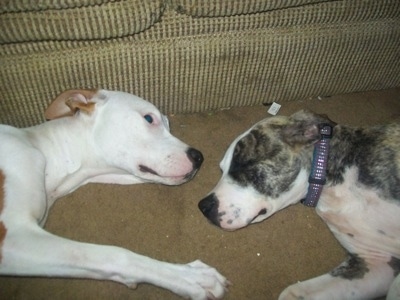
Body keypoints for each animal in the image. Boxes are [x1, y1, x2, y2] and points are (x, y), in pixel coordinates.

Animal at [0, 89, 228, 300]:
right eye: (149, 118)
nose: (199, 157)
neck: (46, 151)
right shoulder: (14, 234)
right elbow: (114, 255)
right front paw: (191, 278)